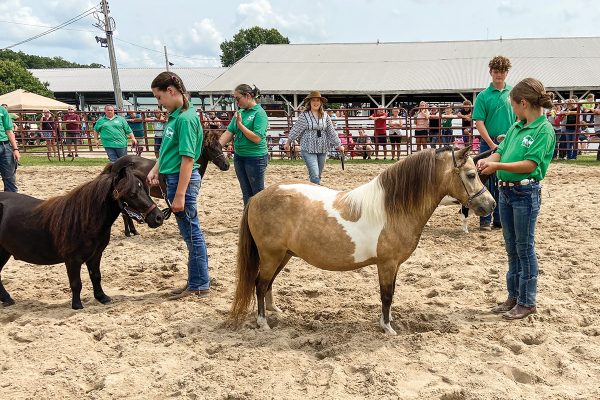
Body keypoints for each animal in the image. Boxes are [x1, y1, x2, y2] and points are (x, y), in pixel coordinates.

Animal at [0, 156, 164, 310]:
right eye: (131, 193)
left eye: (144, 189)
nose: (159, 217)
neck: (83, 221)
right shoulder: (72, 260)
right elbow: (76, 283)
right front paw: (77, 305)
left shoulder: (96, 255)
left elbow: (96, 276)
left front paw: (102, 297)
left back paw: (7, 299)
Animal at [232, 146, 494, 334]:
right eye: (471, 175)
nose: (490, 204)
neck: (392, 209)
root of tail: (256, 197)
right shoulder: (387, 264)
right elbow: (386, 294)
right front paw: (387, 328)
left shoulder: (393, 265)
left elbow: (390, 293)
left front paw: (386, 321)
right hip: (271, 255)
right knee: (259, 284)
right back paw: (263, 323)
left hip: (283, 256)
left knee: (267, 284)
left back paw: (275, 312)